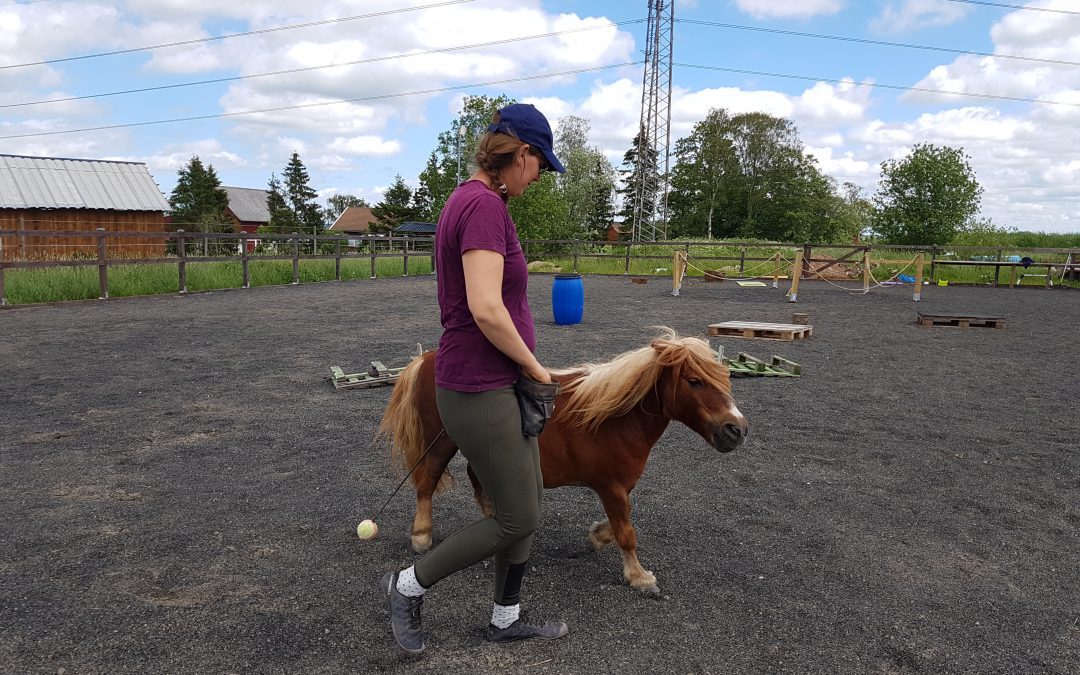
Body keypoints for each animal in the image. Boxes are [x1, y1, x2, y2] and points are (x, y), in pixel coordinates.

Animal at [382, 328, 751, 591]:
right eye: (695, 381)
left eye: (726, 378)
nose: (737, 429)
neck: (616, 417)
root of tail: (427, 358)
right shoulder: (611, 487)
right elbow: (627, 532)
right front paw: (639, 576)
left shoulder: (620, 487)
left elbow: (618, 524)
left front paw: (598, 537)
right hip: (440, 443)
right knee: (427, 483)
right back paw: (422, 535)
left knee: (478, 481)